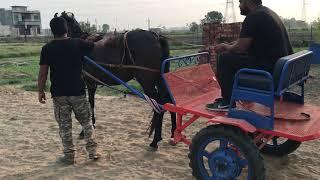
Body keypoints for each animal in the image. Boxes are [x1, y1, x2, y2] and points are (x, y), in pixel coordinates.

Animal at [57, 11, 178, 150]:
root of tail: (156, 36)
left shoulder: (88, 82)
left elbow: (89, 104)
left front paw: (84, 130)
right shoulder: (92, 83)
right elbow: (91, 103)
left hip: (147, 81)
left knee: (158, 104)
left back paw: (155, 140)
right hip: (159, 79)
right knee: (167, 100)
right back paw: (173, 132)